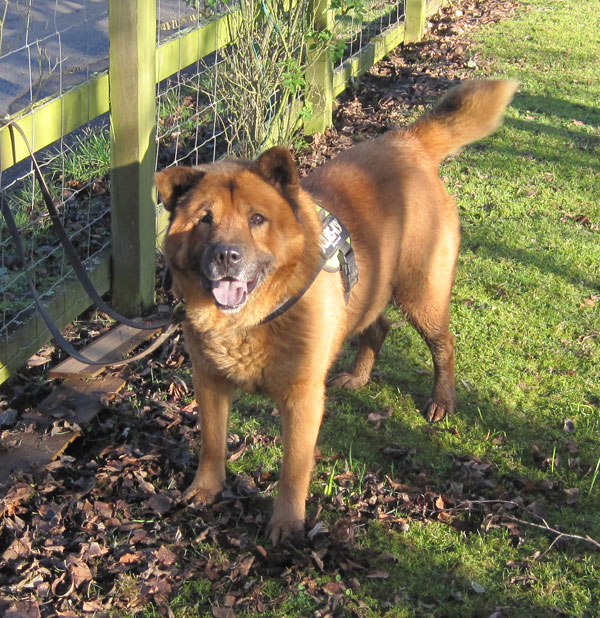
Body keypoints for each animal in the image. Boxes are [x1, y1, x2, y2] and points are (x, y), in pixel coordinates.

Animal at [157, 80, 516, 540]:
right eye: (205, 219)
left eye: (257, 219)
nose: (227, 256)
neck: (251, 320)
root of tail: (408, 142)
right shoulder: (210, 383)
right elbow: (211, 443)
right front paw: (206, 488)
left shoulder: (303, 399)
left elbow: (294, 468)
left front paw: (287, 523)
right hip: (368, 291)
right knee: (378, 328)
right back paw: (359, 376)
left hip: (421, 295)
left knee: (444, 344)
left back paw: (441, 399)